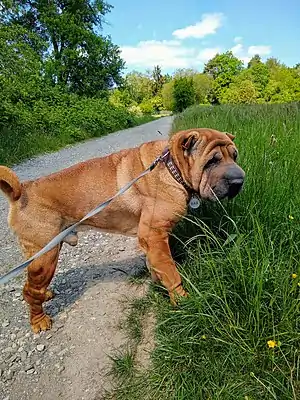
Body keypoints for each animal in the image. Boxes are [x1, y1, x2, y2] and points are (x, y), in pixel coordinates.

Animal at [0, 128, 244, 332]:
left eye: (234, 156)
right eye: (212, 161)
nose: (239, 181)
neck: (171, 167)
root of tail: (22, 191)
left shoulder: (152, 241)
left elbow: (157, 265)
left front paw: (156, 279)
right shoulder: (154, 235)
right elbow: (171, 271)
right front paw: (181, 299)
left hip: (47, 252)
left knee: (34, 287)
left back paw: (46, 293)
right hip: (45, 257)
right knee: (29, 291)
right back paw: (39, 320)